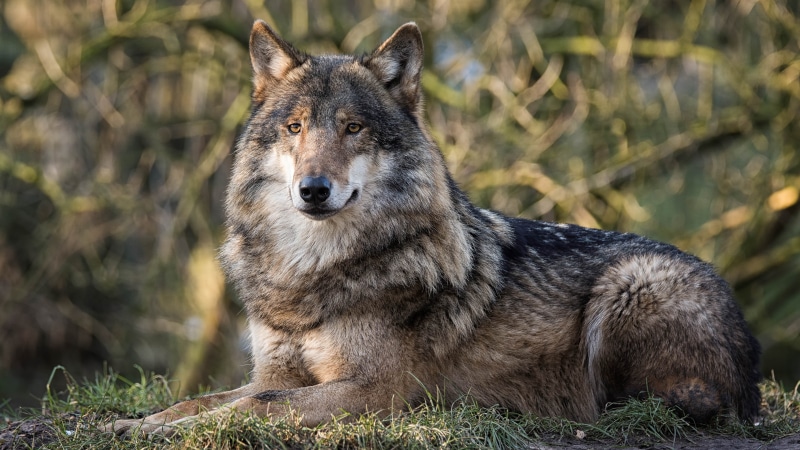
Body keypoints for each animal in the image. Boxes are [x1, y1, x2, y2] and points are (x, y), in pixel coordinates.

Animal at [108, 20, 761, 436]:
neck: (312, 271)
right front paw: (136, 422)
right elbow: (208, 396)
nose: (313, 190)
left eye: (352, 128)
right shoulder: (274, 369)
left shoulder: (374, 391)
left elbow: (260, 405)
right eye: (295, 128)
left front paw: (172, 432)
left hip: (630, 285)